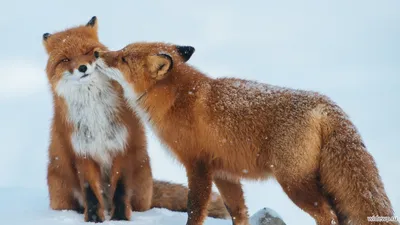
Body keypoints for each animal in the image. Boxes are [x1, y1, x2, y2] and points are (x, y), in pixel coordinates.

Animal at [41, 16, 228, 222]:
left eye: (88, 52)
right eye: (65, 60)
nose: (82, 68)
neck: (95, 113)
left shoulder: (124, 146)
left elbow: (120, 189)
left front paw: (120, 219)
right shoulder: (83, 153)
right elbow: (91, 194)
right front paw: (94, 220)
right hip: (60, 190)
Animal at [94, 42, 396, 225]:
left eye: (122, 57)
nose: (97, 54)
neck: (178, 99)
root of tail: (326, 104)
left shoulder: (198, 166)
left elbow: (195, 210)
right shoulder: (225, 173)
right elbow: (238, 212)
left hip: (295, 184)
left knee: (327, 215)